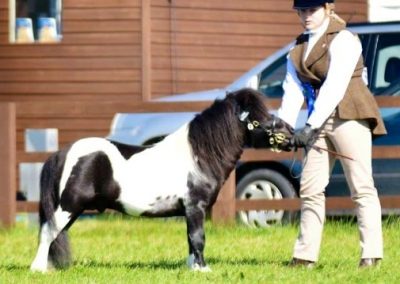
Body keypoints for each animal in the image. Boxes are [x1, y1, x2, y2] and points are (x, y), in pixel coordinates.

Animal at [30, 87, 288, 272]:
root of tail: (62, 153)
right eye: (258, 118)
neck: (198, 155)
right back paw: (38, 269)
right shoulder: (195, 207)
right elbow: (198, 238)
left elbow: (190, 240)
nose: (290, 132)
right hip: (69, 206)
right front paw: (203, 270)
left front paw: (192, 268)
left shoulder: (190, 211)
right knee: (48, 233)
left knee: (54, 234)